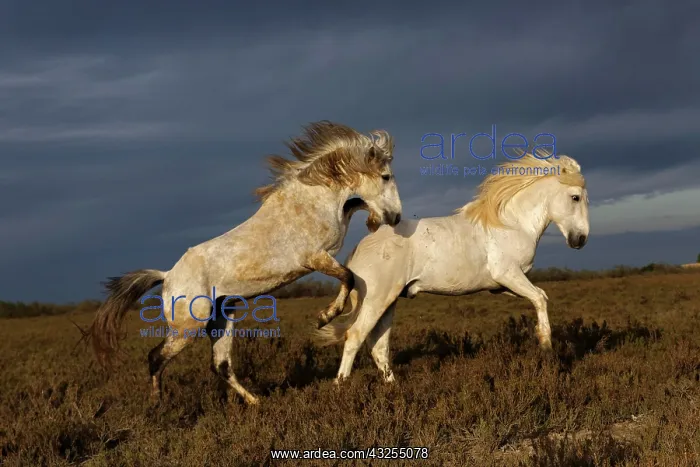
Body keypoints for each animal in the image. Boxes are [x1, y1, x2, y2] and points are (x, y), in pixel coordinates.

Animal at [85, 120, 403, 405]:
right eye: (386, 176)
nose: (396, 217)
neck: (309, 203)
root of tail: (167, 276)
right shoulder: (315, 257)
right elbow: (349, 277)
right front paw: (325, 316)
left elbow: (352, 225)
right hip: (188, 326)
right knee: (156, 357)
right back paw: (157, 405)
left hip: (221, 319)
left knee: (221, 365)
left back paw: (255, 402)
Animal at [315, 150, 589, 384]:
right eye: (575, 197)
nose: (580, 240)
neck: (512, 224)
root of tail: (358, 249)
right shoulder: (509, 275)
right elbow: (541, 297)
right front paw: (545, 345)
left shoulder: (503, 286)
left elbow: (538, 296)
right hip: (376, 299)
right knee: (355, 336)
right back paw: (341, 385)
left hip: (389, 302)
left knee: (378, 345)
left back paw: (393, 386)